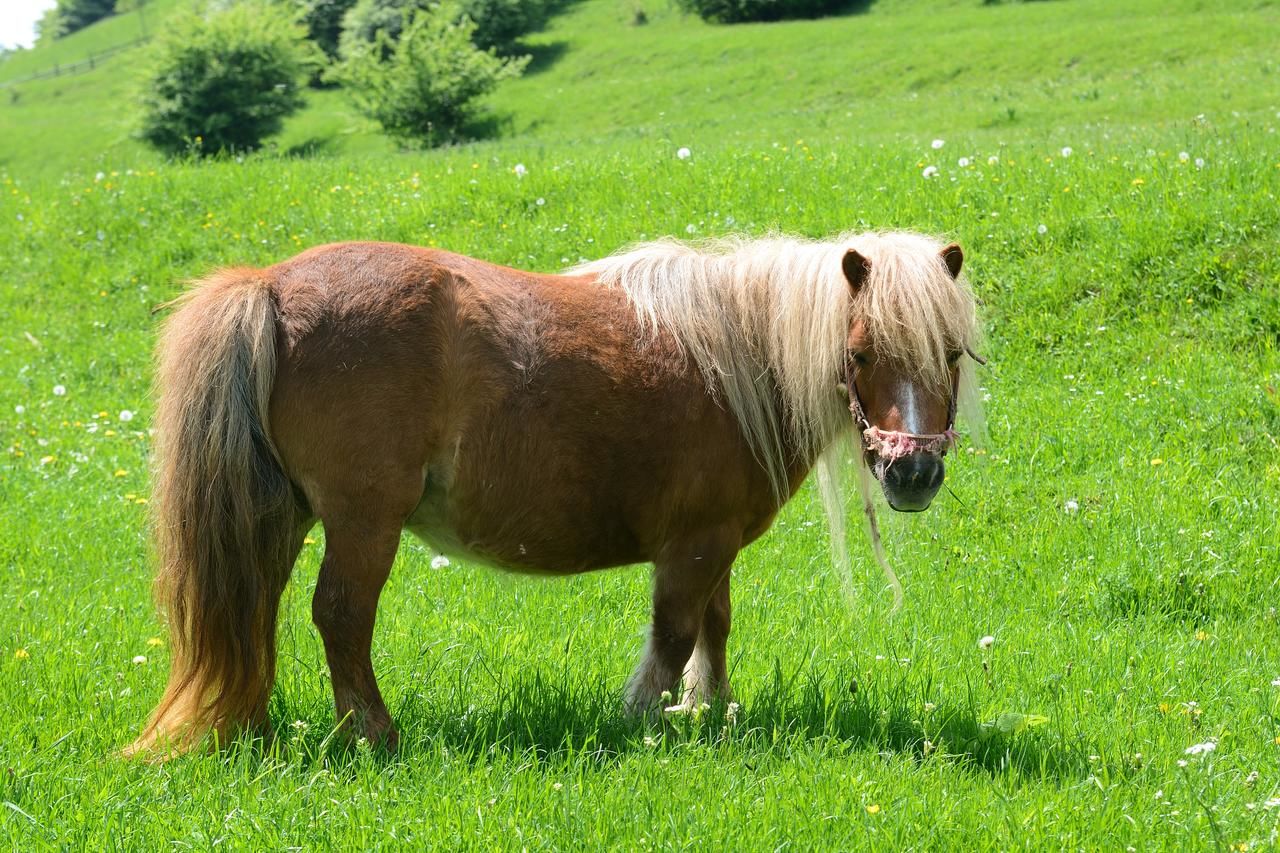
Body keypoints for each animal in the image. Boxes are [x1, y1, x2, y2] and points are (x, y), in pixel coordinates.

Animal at [124, 229, 977, 753]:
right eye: (860, 352)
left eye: (952, 351)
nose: (913, 473)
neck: (739, 356)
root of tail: (268, 285)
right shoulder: (694, 546)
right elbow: (674, 635)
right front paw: (641, 723)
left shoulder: (716, 543)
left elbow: (715, 628)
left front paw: (710, 714)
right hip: (364, 522)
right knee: (339, 615)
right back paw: (375, 735)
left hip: (283, 518)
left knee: (255, 611)